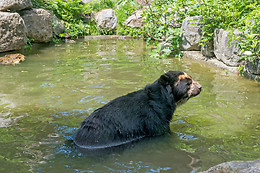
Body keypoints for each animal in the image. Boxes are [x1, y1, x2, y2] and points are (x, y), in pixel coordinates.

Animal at [74, 70, 202, 149]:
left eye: (191, 79)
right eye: (188, 83)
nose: (200, 87)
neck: (164, 99)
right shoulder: (154, 117)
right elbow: (162, 131)